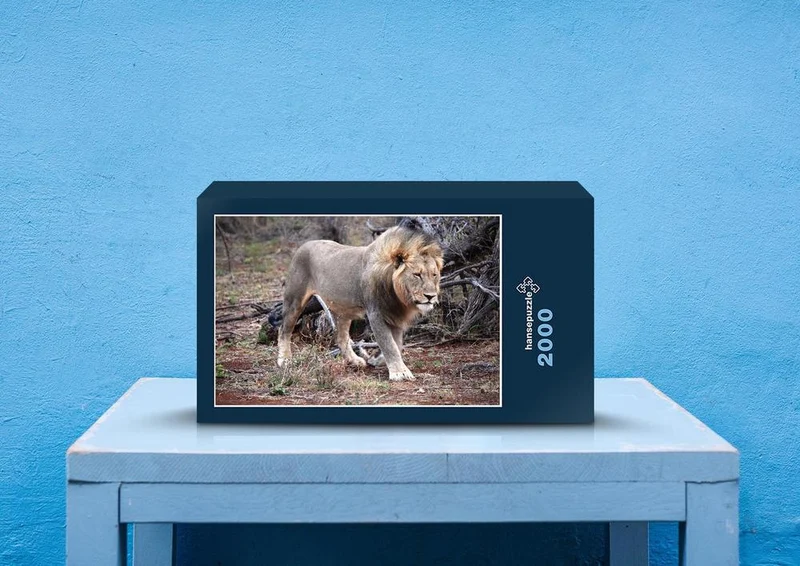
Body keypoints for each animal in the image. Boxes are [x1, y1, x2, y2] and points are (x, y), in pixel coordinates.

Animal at [277, 224, 444, 381]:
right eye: (417, 275)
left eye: (434, 275)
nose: (431, 296)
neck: (397, 294)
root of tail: (303, 245)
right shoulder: (376, 314)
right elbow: (389, 344)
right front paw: (399, 372)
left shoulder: (394, 314)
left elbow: (397, 343)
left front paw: (378, 359)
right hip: (295, 300)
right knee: (284, 329)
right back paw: (284, 360)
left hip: (343, 310)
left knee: (341, 337)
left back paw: (354, 361)